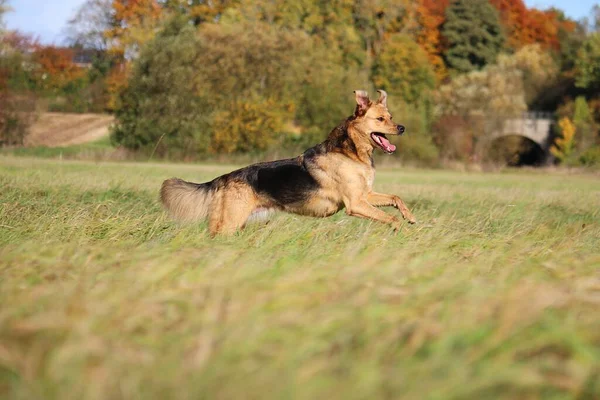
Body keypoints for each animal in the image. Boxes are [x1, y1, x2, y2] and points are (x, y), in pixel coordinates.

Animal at [159, 90, 418, 234]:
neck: (352, 153)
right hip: (229, 223)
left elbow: (396, 198)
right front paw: (398, 228)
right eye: (381, 119)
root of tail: (222, 179)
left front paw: (410, 217)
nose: (402, 128)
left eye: (391, 117)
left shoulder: (366, 196)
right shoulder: (355, 204)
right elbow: (390, 217)